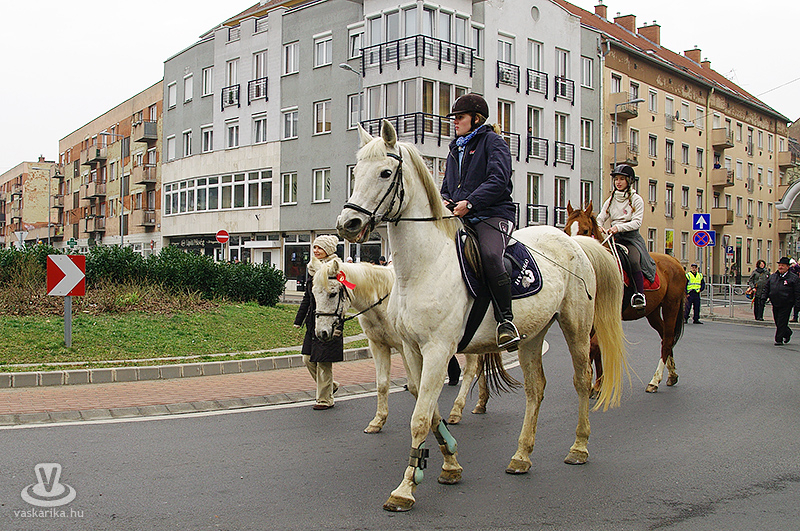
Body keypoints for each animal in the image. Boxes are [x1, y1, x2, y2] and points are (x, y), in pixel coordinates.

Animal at [310, 258, 496, 433]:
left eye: (332, 294)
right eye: (314, 294)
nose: (321, 333)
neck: (381, 301)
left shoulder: (405, 347)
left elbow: (415, 386)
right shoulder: (378, 346)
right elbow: (382, 384)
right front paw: (378, 421)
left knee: (471, 370)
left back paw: (457, 410)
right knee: (480, 368)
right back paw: (481, 403)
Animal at [336, 120, 628, 512]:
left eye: (385, 172)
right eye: (356, 172)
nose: (348, 224)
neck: (424, 266)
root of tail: (575, 242)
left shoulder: (438, 350)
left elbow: (420, 417)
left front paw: (405, 489)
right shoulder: (412, 349)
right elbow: (427, 408)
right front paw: (449, 463)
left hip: (577, 328)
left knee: (581, 380)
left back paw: (579, 447)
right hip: (531, 336)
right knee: (536, 390)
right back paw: (521, 456)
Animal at [565, 201, 686, 394]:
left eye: (585, 230)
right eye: (566, 229)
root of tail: (675, 262)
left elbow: (595, 347)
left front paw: (596, 385)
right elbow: (593, 348)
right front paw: (595, 384)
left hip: (671, 306)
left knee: (667, 339)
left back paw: (655, 380)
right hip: (652, 312)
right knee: (663, 337)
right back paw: (672, 375)